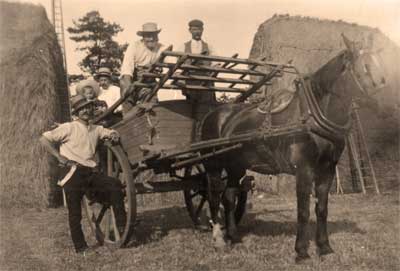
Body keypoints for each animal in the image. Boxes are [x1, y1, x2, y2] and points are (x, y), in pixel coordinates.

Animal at [202, 34, 386, 264]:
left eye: (381, 65)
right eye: (365, 68)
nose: (386, 105)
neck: (311, 116)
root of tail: (212, 115)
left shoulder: (327, 170)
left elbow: (322, 208)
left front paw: (325, 247)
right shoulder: (304, 170)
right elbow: (303, 211)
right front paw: (302, 252)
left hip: (237, 166)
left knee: (229, 196)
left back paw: (234, 237)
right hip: (213, 165)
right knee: (214, 196)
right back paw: (219, 239)